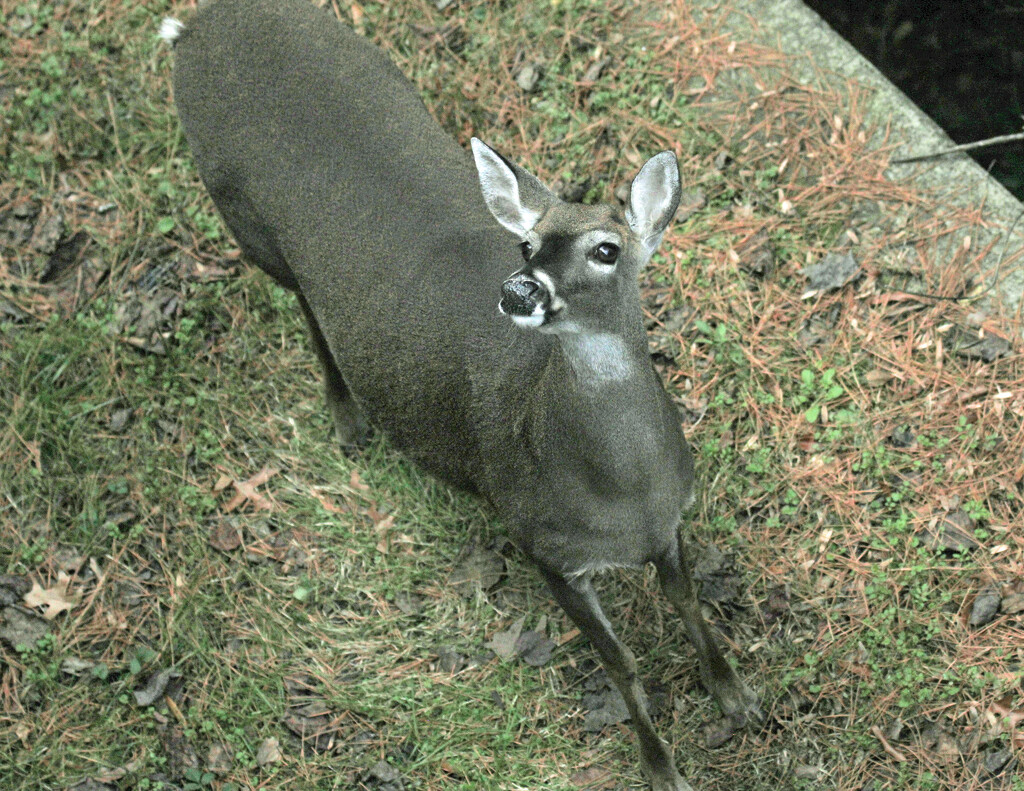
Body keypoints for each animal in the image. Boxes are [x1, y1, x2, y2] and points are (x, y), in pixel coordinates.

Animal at [161, 3, 761, 786]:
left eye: (606, 249)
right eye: (527, 246)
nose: (519, 290)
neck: (619, 494)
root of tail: (196, 28)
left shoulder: (669, 521)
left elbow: (688, 604)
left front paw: (736, 696)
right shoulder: (542, 541)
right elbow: (621, 664)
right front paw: (661, 766)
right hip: (247, 221)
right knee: (308, 310)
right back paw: (347, 419)